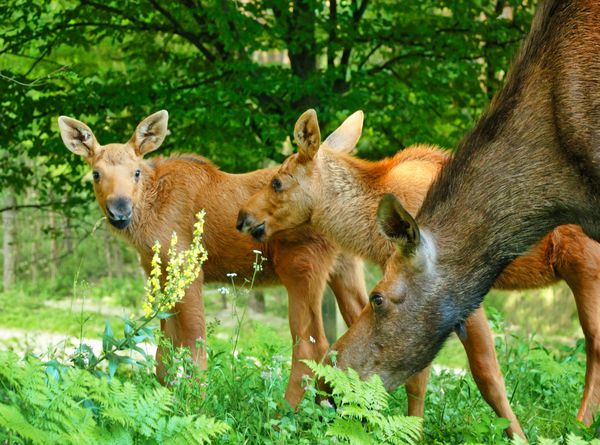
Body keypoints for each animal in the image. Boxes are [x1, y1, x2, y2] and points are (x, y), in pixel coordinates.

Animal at [57, 111, 366, 406]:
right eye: (96, 174)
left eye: (135, 172)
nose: (120, 210)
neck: (149, 212)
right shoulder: (161, 272)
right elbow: (163, 354)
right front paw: (168, 397)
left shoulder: (188, 266)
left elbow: (194, 344)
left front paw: (196, 404)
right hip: (346, 267)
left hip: (300, 266)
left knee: (311, 345)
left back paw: (284, 414)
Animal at [237, 107, 600, 434]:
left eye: (276, 181)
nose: (242, 217)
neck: (371, 225)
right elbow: (415, 376)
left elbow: (486, 374)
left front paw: (517, 435)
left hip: (584, 264)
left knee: (593, 344)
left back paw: (581, 425)